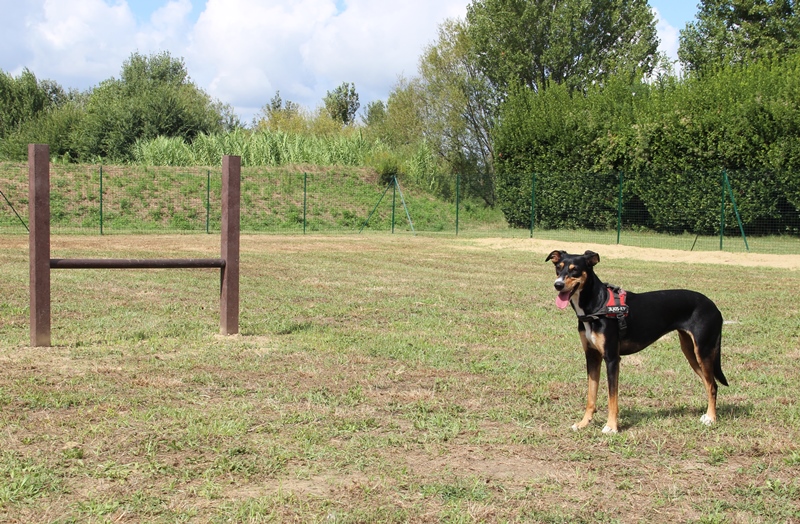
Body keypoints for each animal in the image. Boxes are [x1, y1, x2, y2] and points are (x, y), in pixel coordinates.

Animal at [548, 250, 728, 434]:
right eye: (558, 268)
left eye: (575, 270)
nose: (558, 285)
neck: (597, 305)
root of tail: (713, 306)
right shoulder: (592, 356)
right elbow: (591, 396)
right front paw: (583, 423)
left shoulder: (612, 359)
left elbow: (612, 397)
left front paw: (611, 426)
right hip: (690, 352)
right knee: (708, 383)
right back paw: (707, 415)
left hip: (703, 351)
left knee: (712, 385)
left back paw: (711, 418)